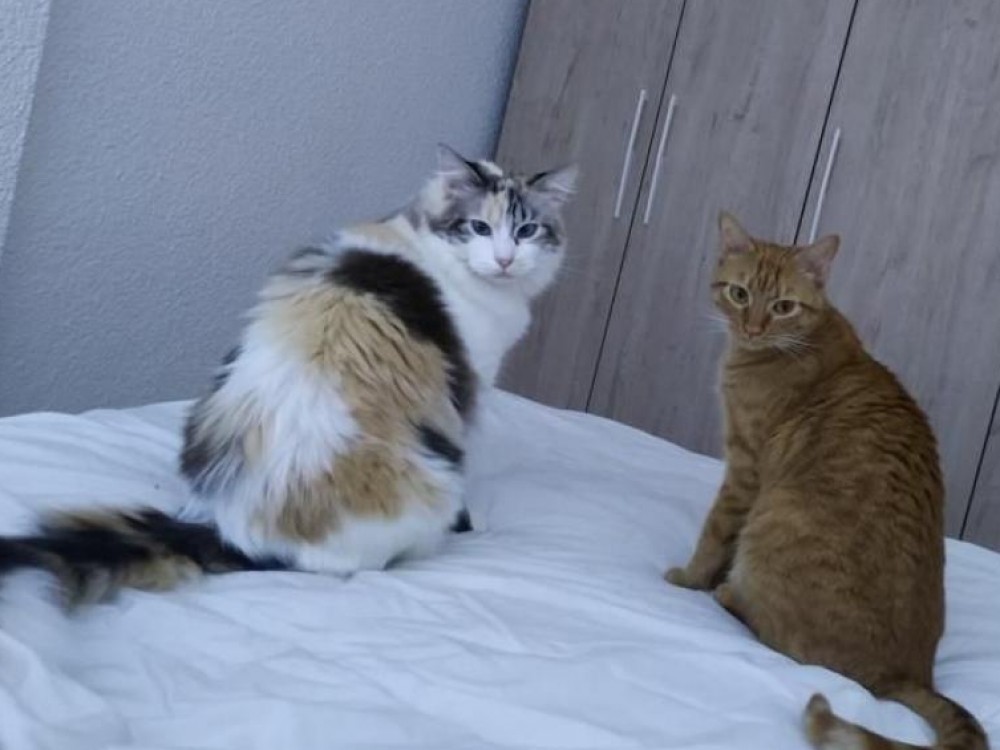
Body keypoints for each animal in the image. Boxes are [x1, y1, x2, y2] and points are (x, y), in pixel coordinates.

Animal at [0, 145, 576, 607]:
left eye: (527, 230)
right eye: (479, 227)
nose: (505, 259)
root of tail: (236, 530)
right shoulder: (471, 385)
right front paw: (471, 525)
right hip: (432, 477)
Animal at [665, 213, 988, 750]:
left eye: (783, 306)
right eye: (739, 294)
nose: (752, 326)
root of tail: (912, 674)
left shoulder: (745, 469)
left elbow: (714, 534)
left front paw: (689, 578)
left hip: (774, 519)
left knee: (787, 642)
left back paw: (730, 594)